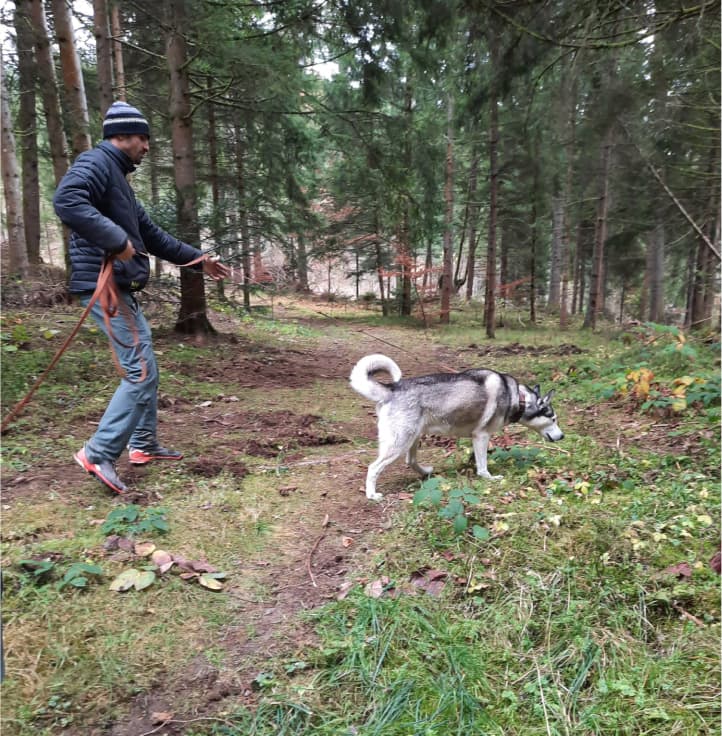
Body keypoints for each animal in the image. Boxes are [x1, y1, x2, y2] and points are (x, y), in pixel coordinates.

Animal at [348, 356, 564, 500]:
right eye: (553, 419)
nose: (562, 436)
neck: (518, 398)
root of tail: (391, 388)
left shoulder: (477, 439)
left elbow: (477, 459)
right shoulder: (482, 436)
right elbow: (483, 467)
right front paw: (489, 478)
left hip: (413, 438)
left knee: (411, 461)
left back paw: (426, 472)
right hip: (399, 443)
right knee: (373, 468)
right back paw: (371, 494)